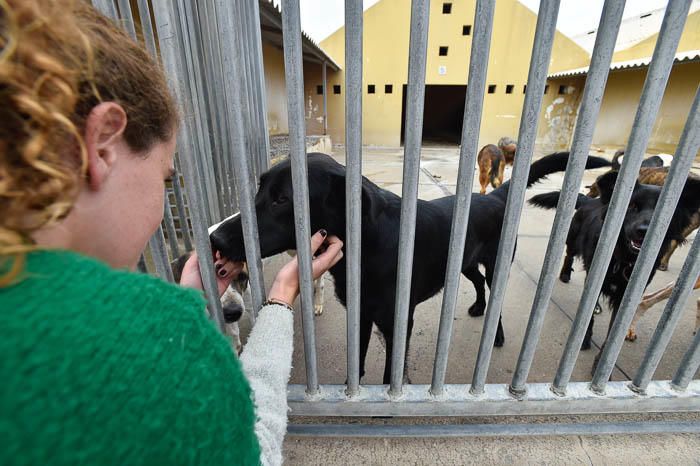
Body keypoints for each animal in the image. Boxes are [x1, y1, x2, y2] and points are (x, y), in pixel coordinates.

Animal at [211, 151, 608, 384]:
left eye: (282, 200)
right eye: (259, 190)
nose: (216, 239)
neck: (366, 243)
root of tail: (494, 195)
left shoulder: (398, 320)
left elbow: (392, 373)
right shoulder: (361, 315)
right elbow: (357, 362)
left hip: (497, 265)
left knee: (493, 292)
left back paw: (495, 334)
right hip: (463, 264)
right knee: (478, 283)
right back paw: (477, 307)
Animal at [532, 169, 700, 370]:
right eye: (632, 206)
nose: (644, 230)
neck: (625, 259)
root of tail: (591, 200)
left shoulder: (625, 297)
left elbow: (613, 333)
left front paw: (601, 363)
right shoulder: (594, 280)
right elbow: (587, 314)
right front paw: (584, 339)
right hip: (572, 240)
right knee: (568, 255)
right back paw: (565, 274)